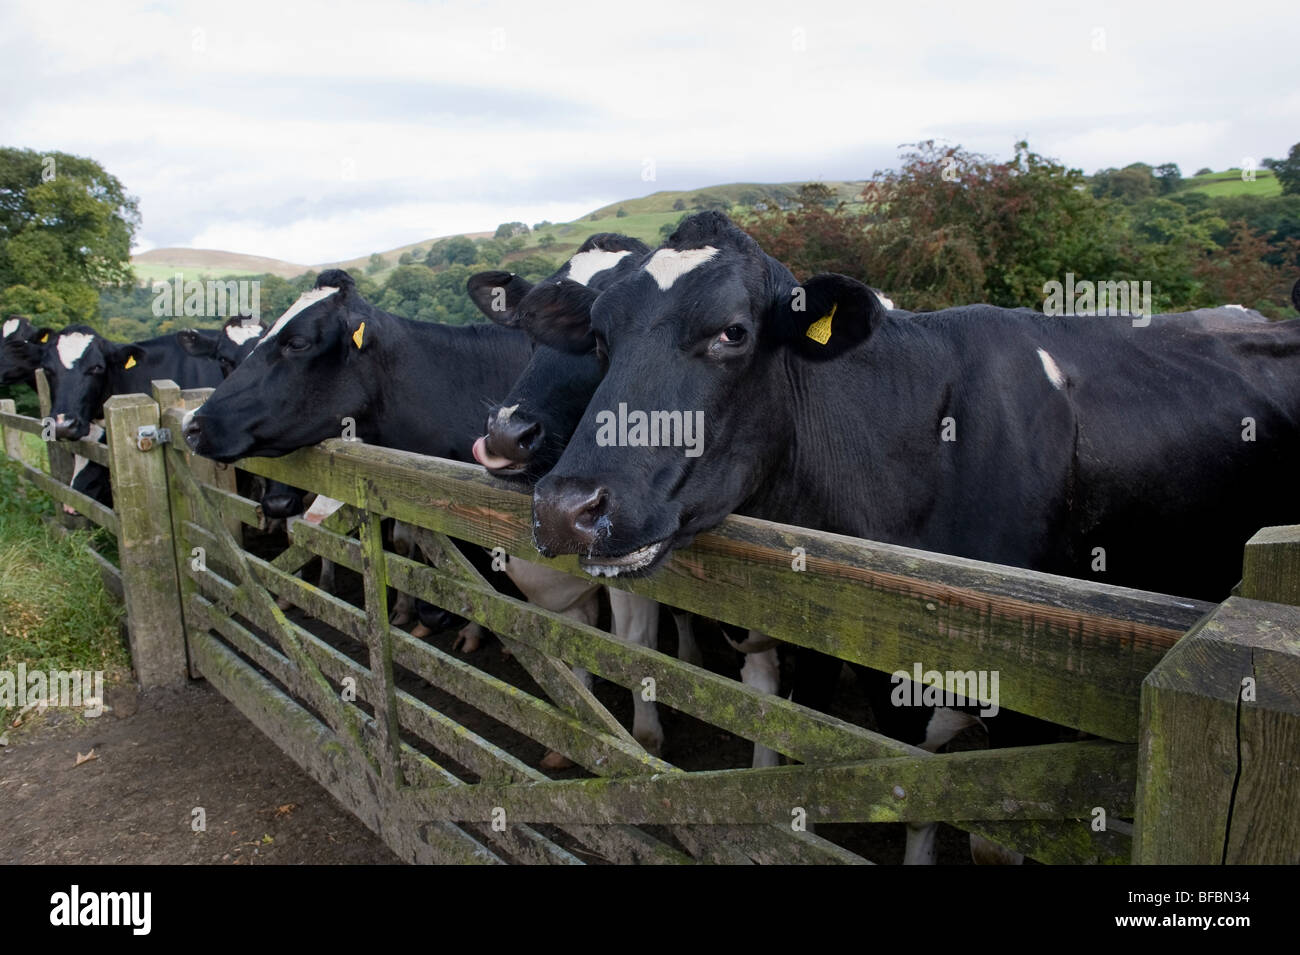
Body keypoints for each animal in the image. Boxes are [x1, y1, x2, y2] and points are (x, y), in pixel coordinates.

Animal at [522, 213, 1300, 862]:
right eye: (600, 337)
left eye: (732, 332)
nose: (565, 506)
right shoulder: (883, 676)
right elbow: (913, 796)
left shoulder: (1037, 700)